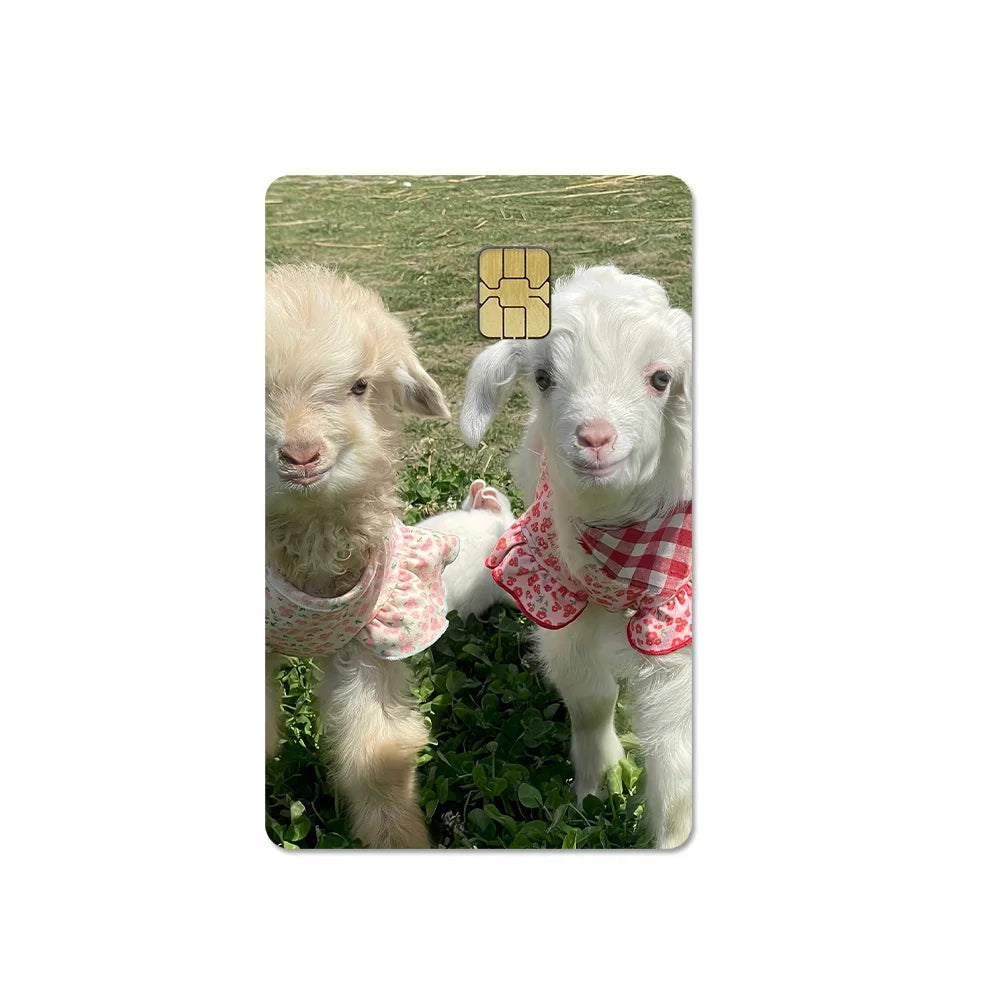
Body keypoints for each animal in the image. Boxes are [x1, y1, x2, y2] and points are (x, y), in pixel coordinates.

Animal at [460, 264, 693, 848]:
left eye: (662, 379)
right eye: (543, 378)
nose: (594, 439)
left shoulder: (678, 624)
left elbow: (676, 756)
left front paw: (673, 836)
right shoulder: (558, 599)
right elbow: (589, 701)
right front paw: (598, 786)